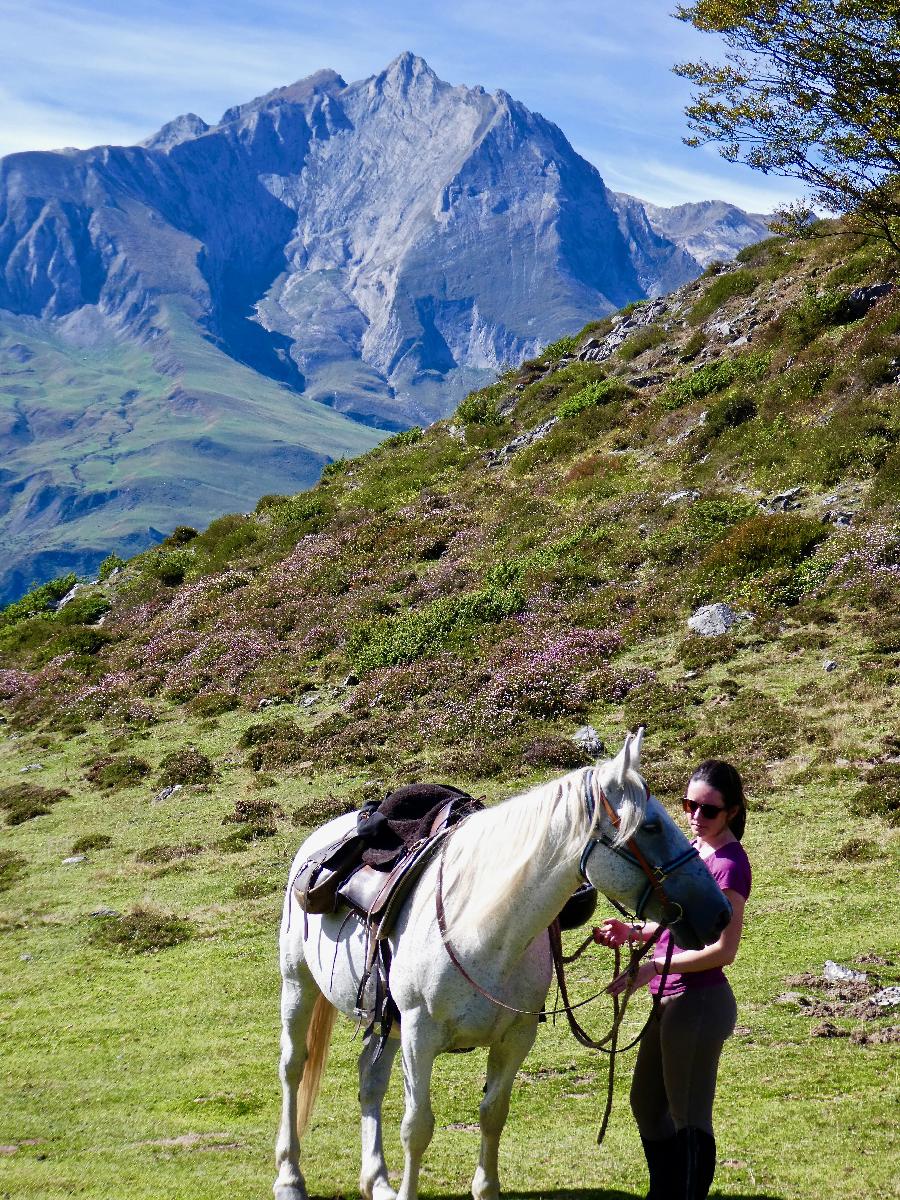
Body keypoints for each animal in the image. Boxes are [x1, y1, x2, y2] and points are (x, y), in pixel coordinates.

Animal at [274, 729, 734, 1200]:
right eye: (651, 826)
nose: (719, 913)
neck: (484, 932)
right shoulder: (420, 1034)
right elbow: (417, 1127)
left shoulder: (515, 1037)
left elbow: (493, 1113)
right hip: (299, 984)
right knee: (293, 1067)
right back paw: (290, 1177)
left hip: (387, 1018)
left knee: (370, 1075)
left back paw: (378, 1181)